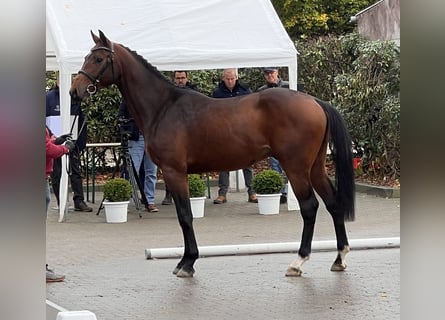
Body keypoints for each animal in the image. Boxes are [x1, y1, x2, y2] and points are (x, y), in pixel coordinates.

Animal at [70, 30, 354, 278]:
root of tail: (315, 101)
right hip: (315, 167)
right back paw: (339, 258)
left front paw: (187, 262)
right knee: (333, 204)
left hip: (295, 168)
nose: (75, 90)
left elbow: (185, 216)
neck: (163, 107)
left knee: (310, 207)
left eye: (98, 59)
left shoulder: (174, 172)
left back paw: (298, 261)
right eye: (86, 56)